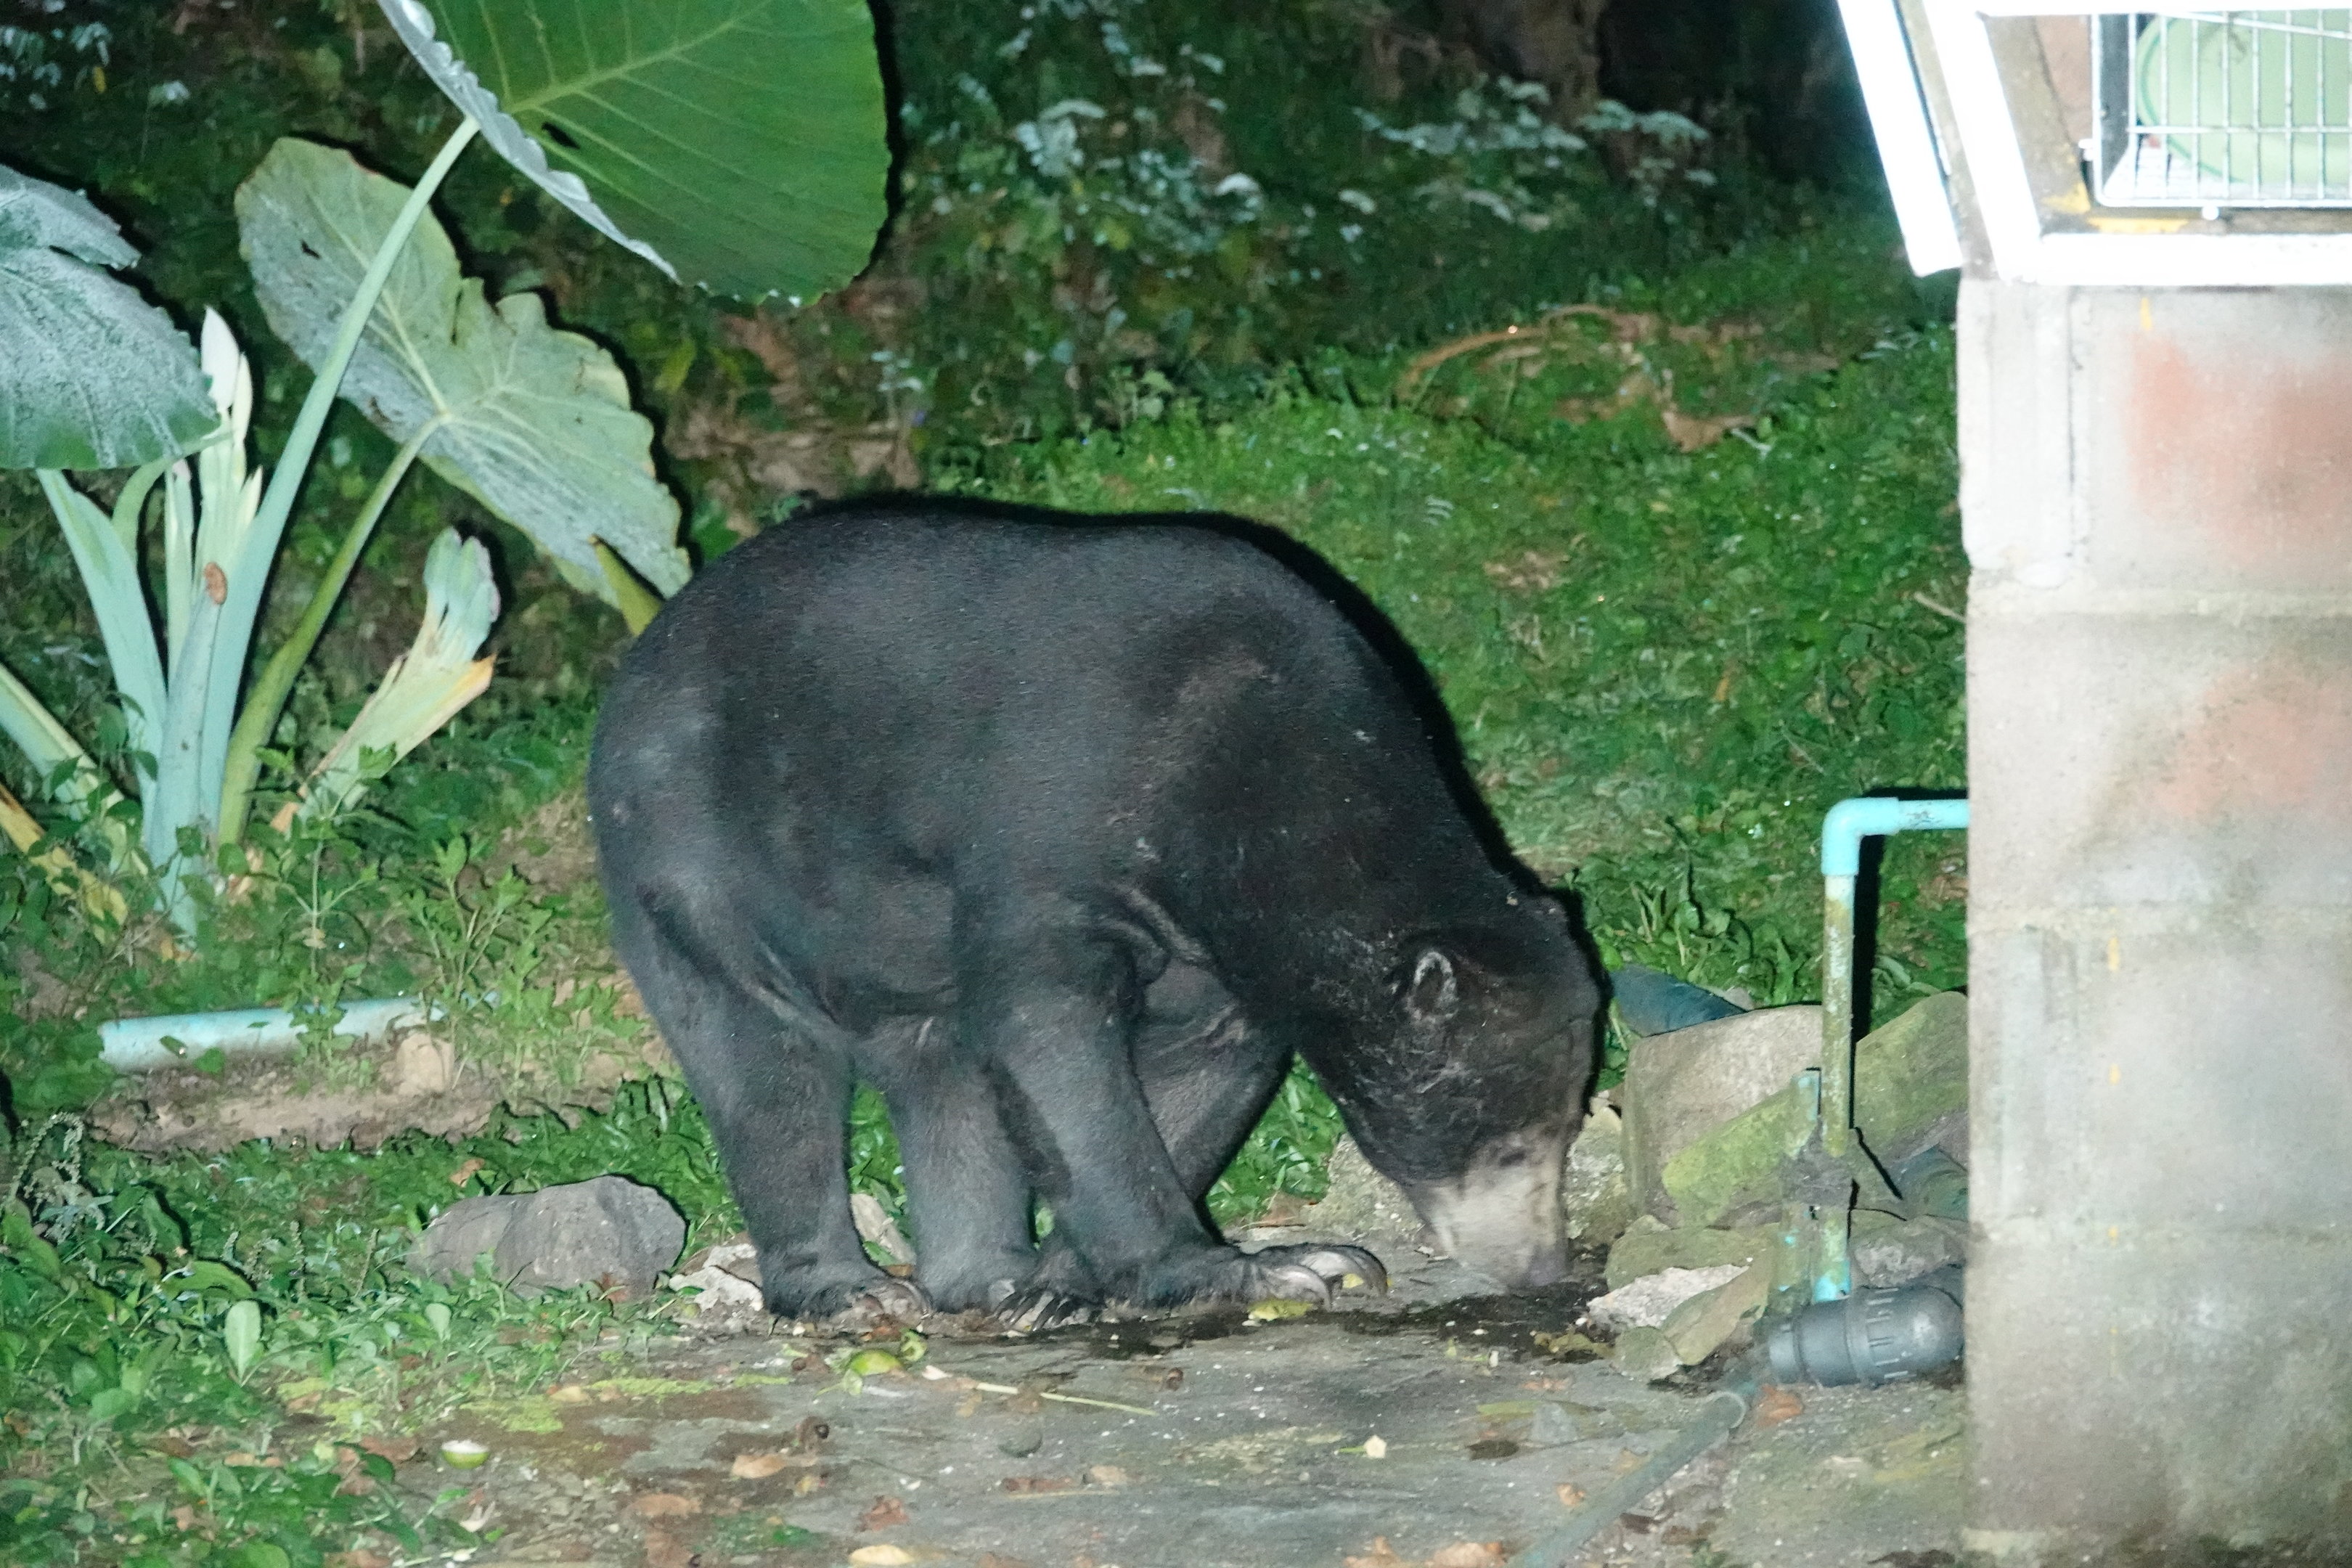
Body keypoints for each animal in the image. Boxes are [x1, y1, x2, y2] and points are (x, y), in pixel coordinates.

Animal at [588, 500, 1601, 1324]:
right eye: (1505, 1144)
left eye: (1568, 1126)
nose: (1540, 1267)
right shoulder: (1060, 818)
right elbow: (1051, 1036)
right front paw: (1261, 1270)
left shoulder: (1216, 957)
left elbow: (1195, 1070)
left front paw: (1058, 1288)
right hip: (687, 860)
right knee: (767, 1069)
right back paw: (848, 1289)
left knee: (934, 1061)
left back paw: (983, 1275)